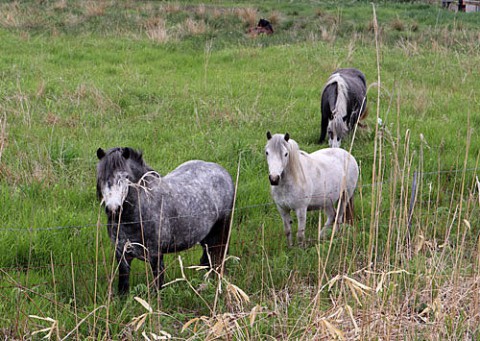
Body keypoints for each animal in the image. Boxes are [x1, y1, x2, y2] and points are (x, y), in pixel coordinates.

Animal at [96, 147, 234, 294]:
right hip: (205, 236)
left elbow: (158, 287)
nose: (113, 209)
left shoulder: (155, 256)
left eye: (126, 177)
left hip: (221, 232)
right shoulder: (121, 255)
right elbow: (123, 288)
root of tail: (221, 170)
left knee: (217, 259)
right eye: (101, 177)